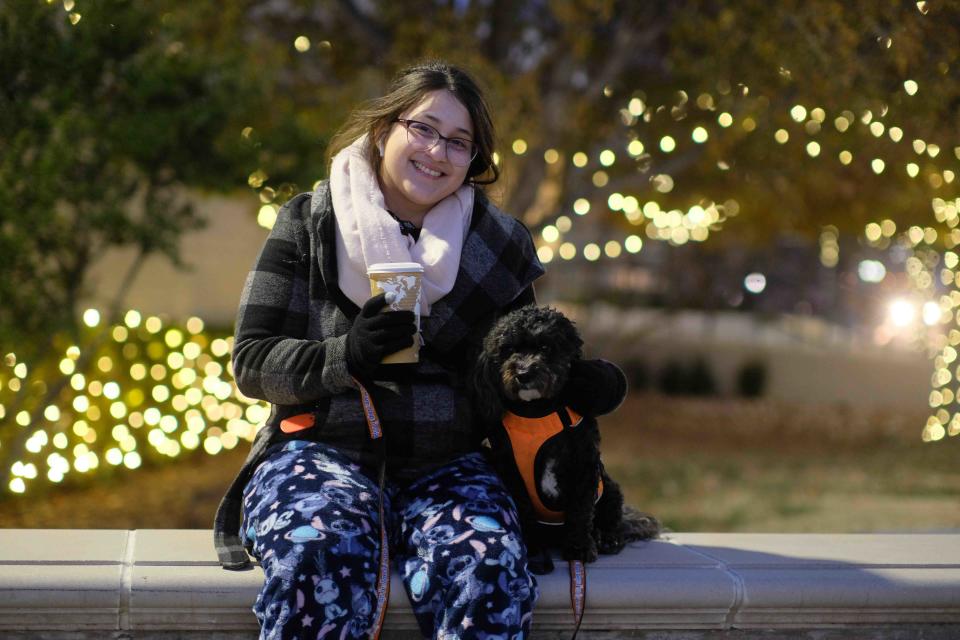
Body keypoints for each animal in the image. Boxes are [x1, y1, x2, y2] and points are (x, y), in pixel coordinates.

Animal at [472, 304, 660, 576]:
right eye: (507, 350)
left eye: (545, 347)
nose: (523, 373)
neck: (537, 412)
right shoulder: (511, 472)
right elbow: (525, 512)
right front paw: (534, 551)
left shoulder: (584, 466)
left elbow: (580, 511)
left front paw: (579, 549)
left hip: (610, 489)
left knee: (611, 520)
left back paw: (607, 538)